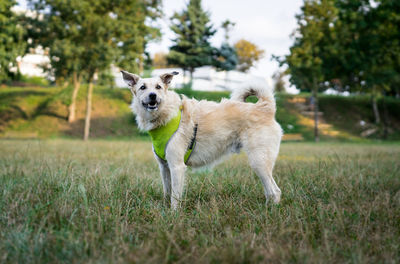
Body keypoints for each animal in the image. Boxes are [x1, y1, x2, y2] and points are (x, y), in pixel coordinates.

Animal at [120, 69, 282, 208]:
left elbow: (175, 197)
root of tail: (264, 106)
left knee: (275, 191)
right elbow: (167, 192)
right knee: (271, 191)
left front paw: (173, 216)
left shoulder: (177, 167)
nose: (153, 95)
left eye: (158, 87)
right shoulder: (164, 167)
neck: (166, 115)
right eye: (142, 87)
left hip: (259, 162)